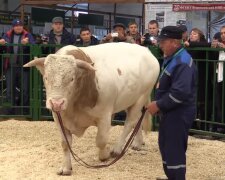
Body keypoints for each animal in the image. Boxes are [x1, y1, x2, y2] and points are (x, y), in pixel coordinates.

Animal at [23, 42, 159, 174]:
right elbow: (65, 143)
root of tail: (146, 50)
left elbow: (101, 140)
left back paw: (117, 149)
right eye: (46, 77)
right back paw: (137, 143)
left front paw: (104, 156)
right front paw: (66, 168)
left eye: (72, 78)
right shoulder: (58, 117)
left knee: (130, 122)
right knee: (137, 119)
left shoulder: (105, 115)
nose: (57, 103)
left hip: (142, 96)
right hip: (130, 99)